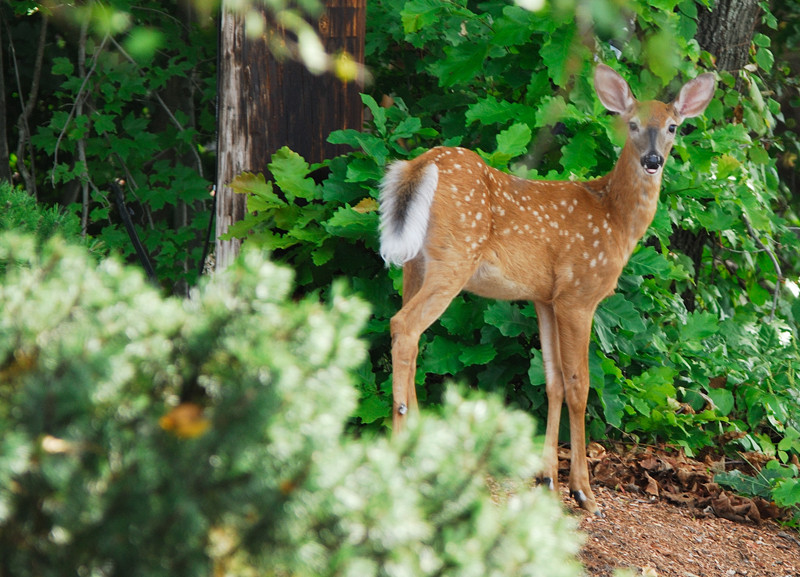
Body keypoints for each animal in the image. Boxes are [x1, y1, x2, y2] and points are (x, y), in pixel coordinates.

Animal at [378, 63, 716, 512]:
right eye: (632, 124)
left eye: (673, 126)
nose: (652, 160)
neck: (615, 219)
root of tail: (419, 166)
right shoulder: (578, 294)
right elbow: (579, 385)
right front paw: (583, 490)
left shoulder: (544, 297)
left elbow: (552, 379)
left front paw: (546, 478)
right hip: (454, 258)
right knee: (405, 326)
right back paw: (403, 454)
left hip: (414, 264)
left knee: (410, 336)